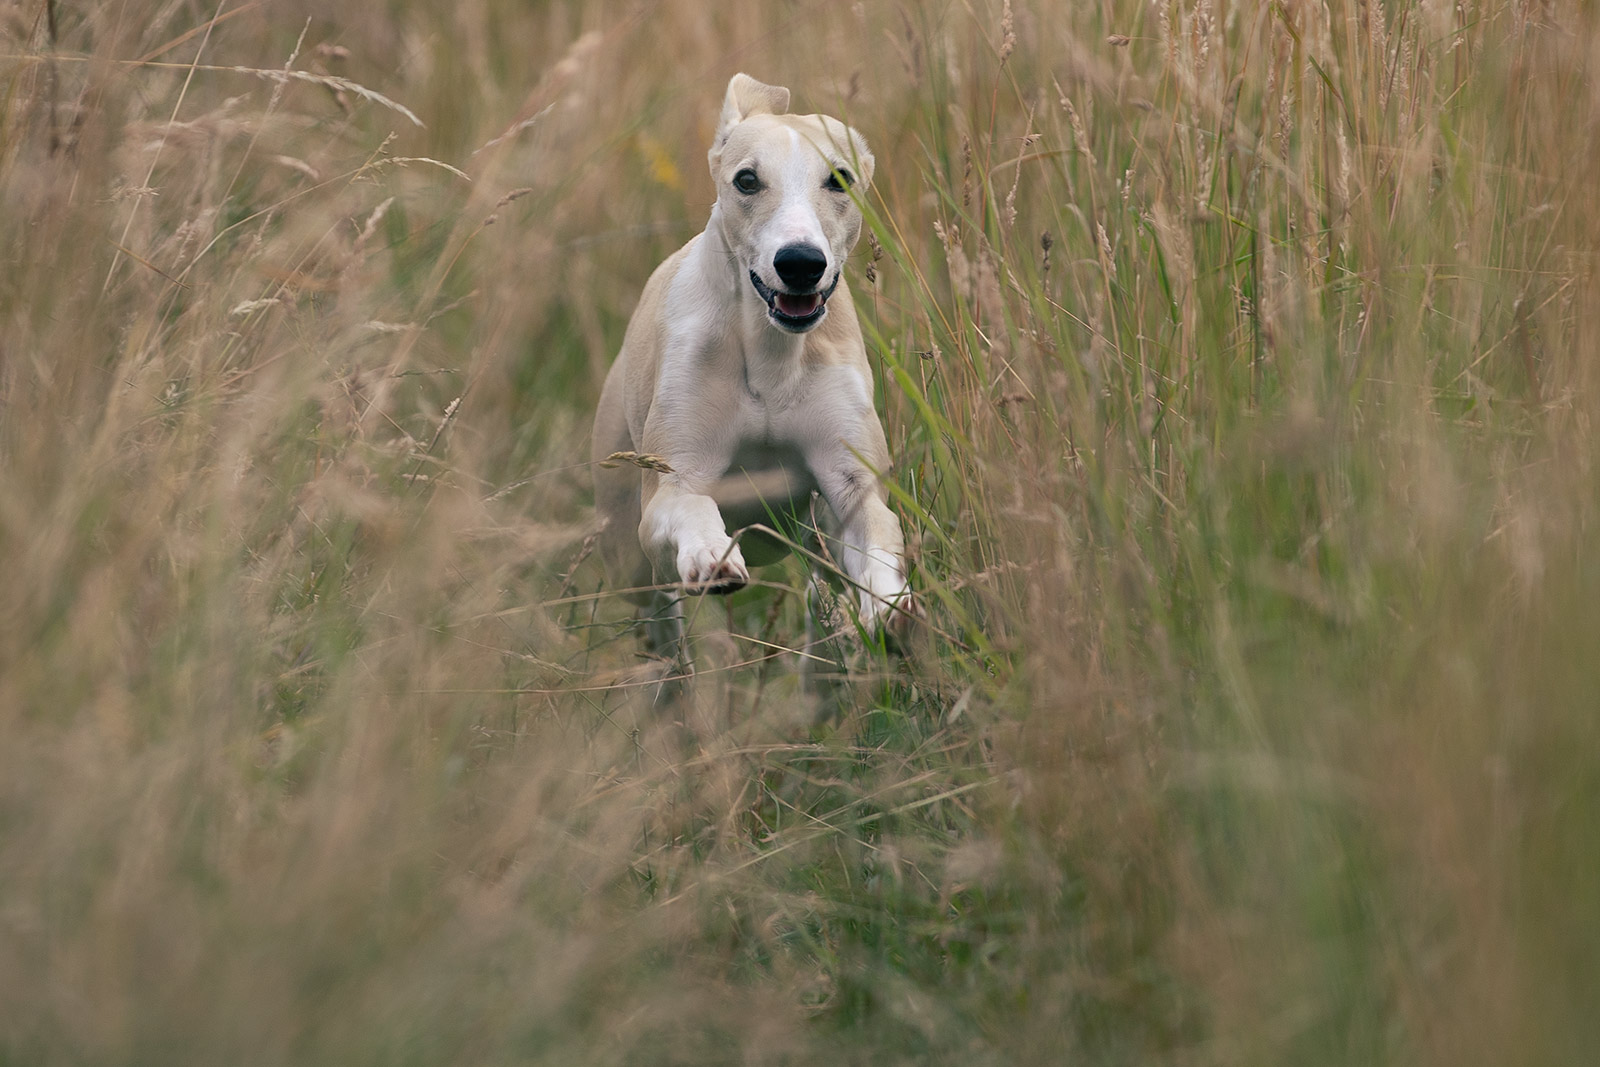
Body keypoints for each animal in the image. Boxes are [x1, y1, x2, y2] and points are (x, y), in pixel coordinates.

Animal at [592, 73, 915, 659]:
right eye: (746, 180)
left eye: (839, 178)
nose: (800, 263)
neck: (771, 358)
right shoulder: (670, 488)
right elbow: (690, 505)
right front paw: (710, 554)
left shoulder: (850, 484)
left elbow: (878, 533)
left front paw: (890, 606)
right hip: (629, 554)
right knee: (662, 619)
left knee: (819, 598)